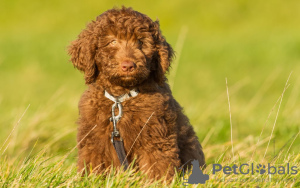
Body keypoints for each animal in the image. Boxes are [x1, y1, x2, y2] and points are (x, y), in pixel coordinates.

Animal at [68, 6, 204, 181]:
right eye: (112, 41)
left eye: (140, 41)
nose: (128, 65)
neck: (120, 98)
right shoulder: (93, 139)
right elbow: (93, 165)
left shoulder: (155, 136)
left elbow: (157, 167)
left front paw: (157, 182)